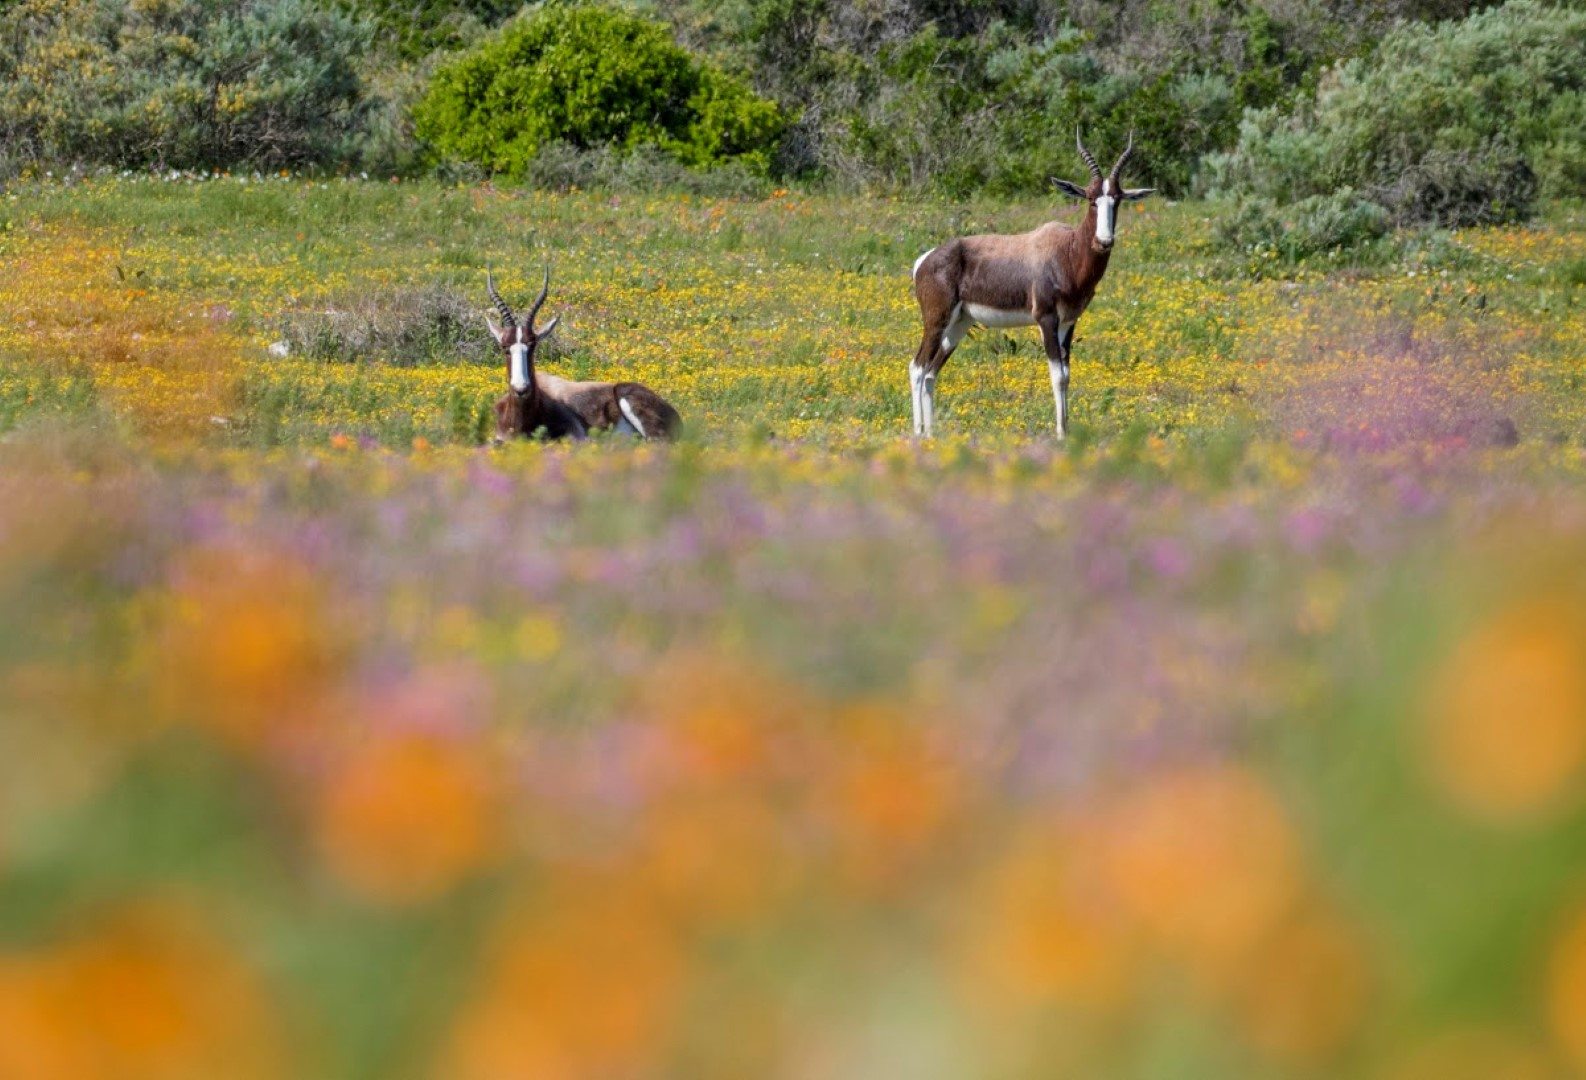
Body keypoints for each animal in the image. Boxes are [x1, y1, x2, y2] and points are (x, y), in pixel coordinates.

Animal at [913, 132, 1160, 434]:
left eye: (1118, 199)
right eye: (1091, 199)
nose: (1104, 241)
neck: (1066, 250)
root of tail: (925, 260)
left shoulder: (1069, 321)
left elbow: (1067, 375)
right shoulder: (1046, 318)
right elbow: (1057, 375)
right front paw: (1061, 433)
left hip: (959, 324)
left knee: (931, 372)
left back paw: (931, 435)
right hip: (936, 320)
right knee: (918, 367)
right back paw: (918, 433)